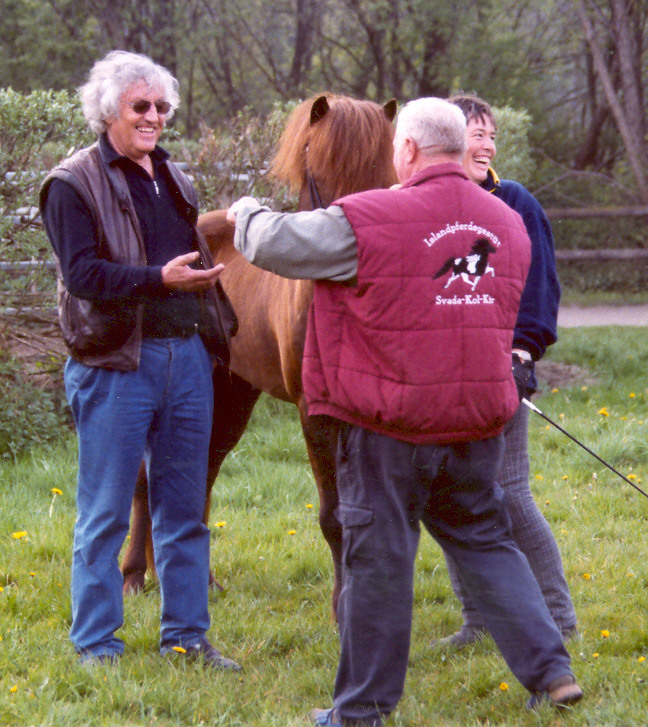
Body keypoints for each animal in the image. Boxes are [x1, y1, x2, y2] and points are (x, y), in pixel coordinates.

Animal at [119, 94, 398, 612]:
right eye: (322, 173)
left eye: (387, 174)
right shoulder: (315, 415)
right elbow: (334, 516)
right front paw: (342, 605)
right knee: (147, 481)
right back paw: (134, 576)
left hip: (230, 396)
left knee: (200, 476)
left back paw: (198, 580)